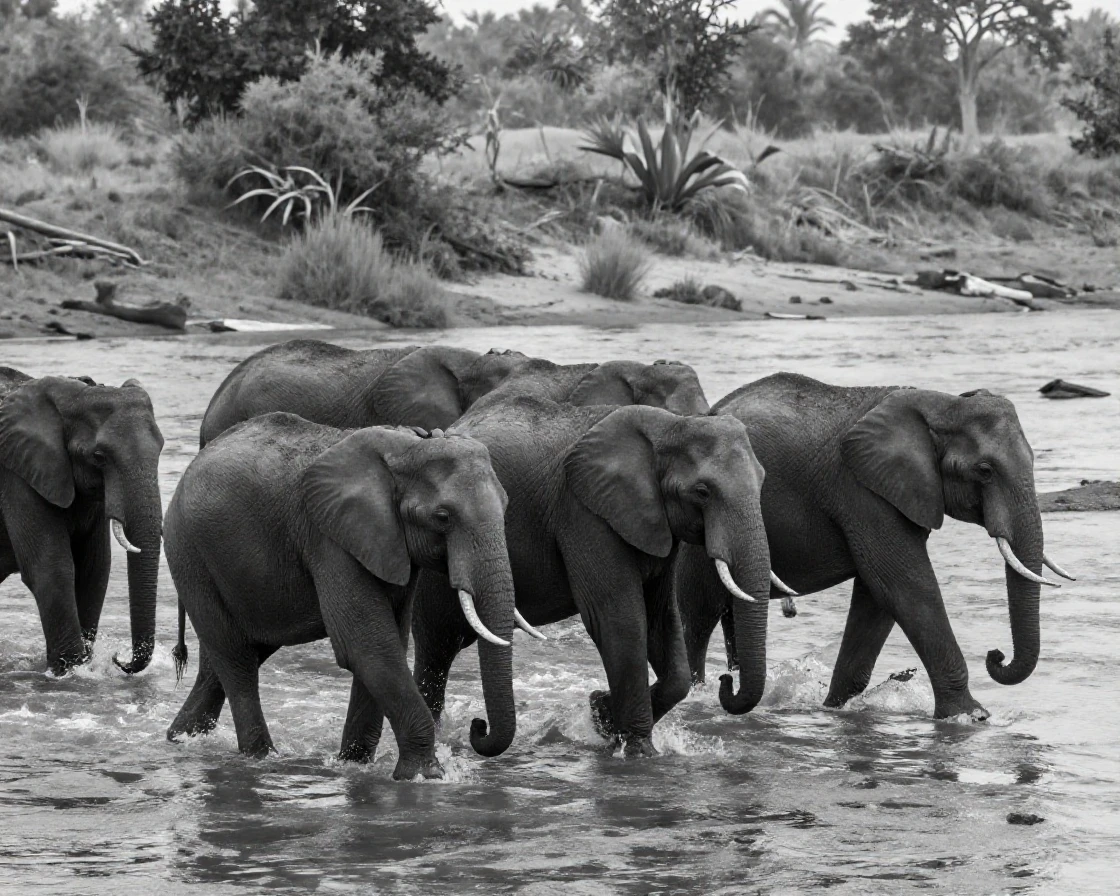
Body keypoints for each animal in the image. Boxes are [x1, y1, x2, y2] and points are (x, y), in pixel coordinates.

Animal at [0, 367, 165, 675]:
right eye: (98, 456)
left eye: (161, 448)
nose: (120, 659)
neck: (75, 394)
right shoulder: (16, 477)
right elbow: (51, 569)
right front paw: (69, 671)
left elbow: (94, 568)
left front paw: (82, 666)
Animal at [163, 414, 518, 780]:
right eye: (443, 517)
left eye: (506, 504)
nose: (478, 725)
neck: (407, 447)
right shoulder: (331, 540)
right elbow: (368, 648)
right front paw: (426, 776)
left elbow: (388, 642)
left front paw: (354, 764)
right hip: (190, 555)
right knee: (237, 660)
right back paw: (260, 757)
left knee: (229, 657)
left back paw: (181, 738)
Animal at [410, 395, 779, 757]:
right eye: (703, 491)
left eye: (763, 480)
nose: (725, 681)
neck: (669, 425)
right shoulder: (585, 512)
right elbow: (620, 619)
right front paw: (638, 751)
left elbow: (661, 619)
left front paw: (601, 715)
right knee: (437, 646)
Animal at [678, 373, 1073, 720]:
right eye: (985, 470)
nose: (996, 655)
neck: (940, 405)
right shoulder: (862, 490)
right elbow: (904, 586)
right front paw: (971, 717)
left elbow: (876, 596)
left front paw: (835, 709)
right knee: (698, 613)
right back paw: (696, 696)